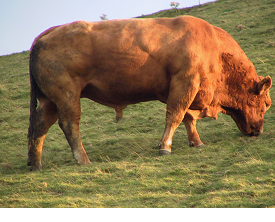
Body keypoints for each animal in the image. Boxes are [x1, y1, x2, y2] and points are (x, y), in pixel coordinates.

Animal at [27, 16, 272, 170]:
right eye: (267, 103)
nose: (258, 130)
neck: (214, 49)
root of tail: (46, 35)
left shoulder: (186, 88)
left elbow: (188, 118)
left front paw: (196, 142)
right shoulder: (185, 83)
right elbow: (175, 115)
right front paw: (165, 147)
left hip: (49, 101)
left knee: (39, 128)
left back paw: (35, 163)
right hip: (67, 96)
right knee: (69, 125)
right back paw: (83, 160)